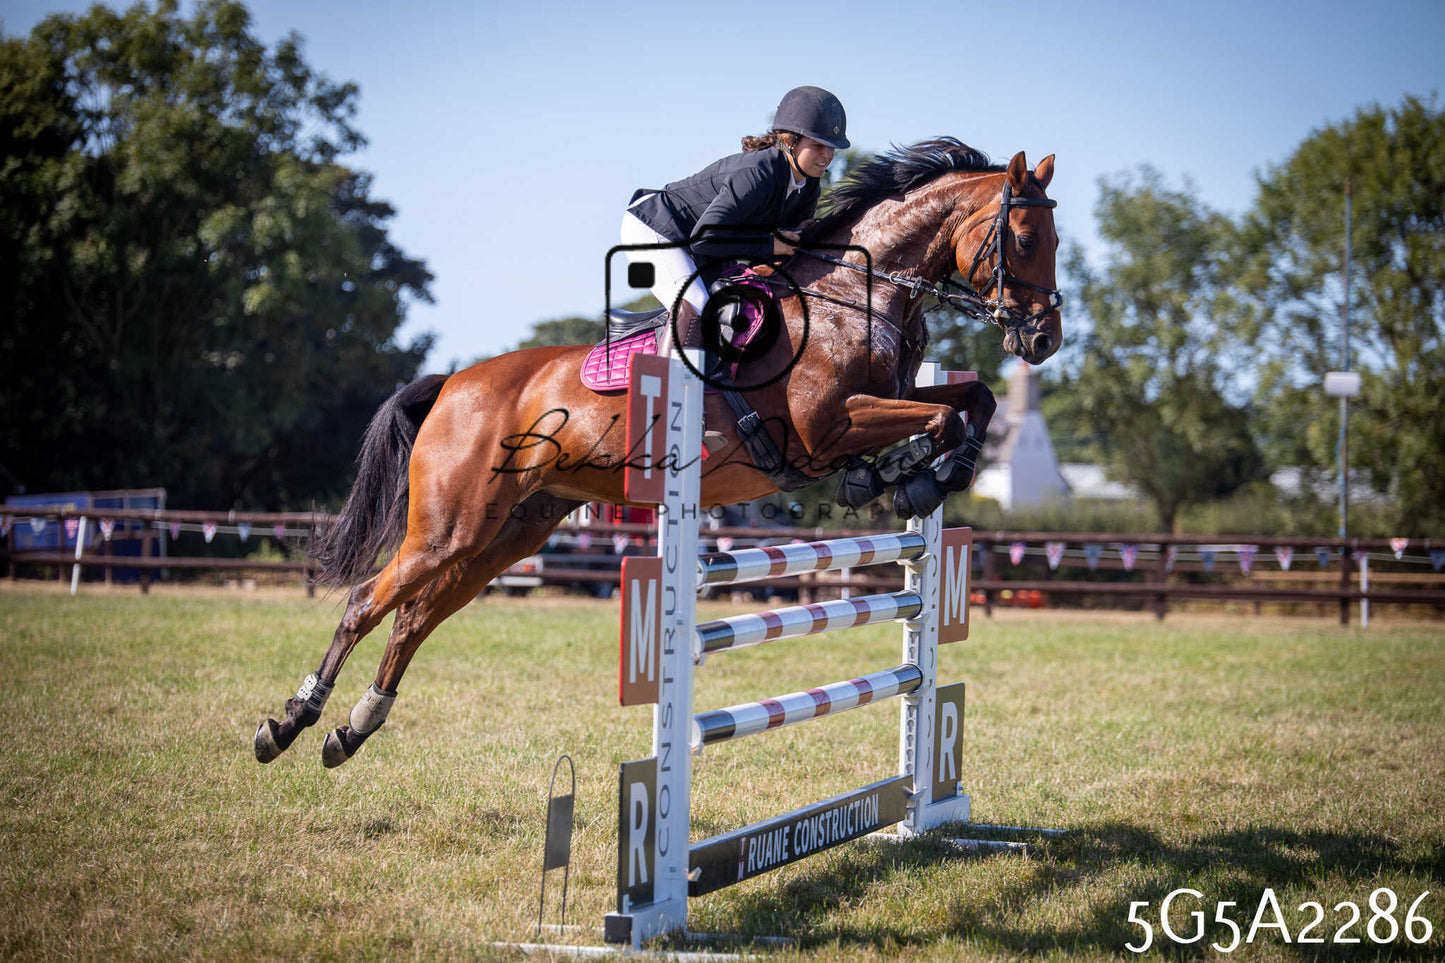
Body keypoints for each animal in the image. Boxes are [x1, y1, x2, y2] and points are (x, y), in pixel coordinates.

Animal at [254, 138, 1062, 768]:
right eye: (1024, 240)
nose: (1044, 339)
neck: (854, 297)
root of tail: (454, 381)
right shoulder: (827, 428)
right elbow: (939, 418)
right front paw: (910, 480)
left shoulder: (881, 406)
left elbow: (973, 402)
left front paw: (912, 477)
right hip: (450, 525)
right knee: (367, 602)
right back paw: (289, 722)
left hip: (509, 532)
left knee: (414, 618)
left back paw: (352, 730)